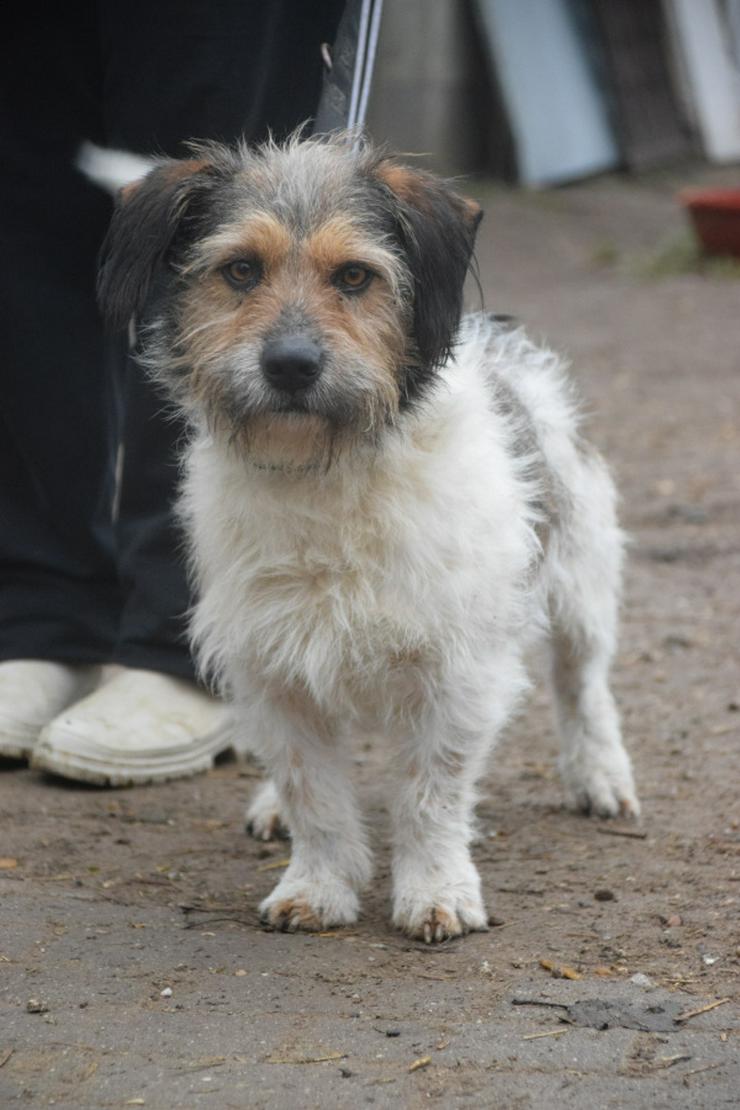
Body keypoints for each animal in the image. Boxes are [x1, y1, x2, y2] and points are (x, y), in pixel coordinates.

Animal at [99, 134, 643, 941]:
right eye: (240, 269)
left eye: (354, 275)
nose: (291, 366)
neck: (326, 474)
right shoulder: (274, 668)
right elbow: (314, 794)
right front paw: (317, 886)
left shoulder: (456, 673)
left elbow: (430, 794)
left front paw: (437, 890)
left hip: (581, 581)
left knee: (584, 686)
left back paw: (602, 775)